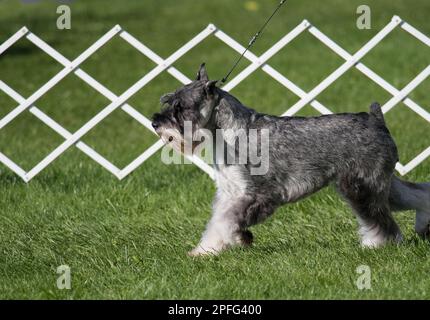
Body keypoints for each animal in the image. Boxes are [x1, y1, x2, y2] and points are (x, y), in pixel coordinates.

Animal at [151, 63, 430, 256]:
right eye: (167, 101)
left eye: (181, 107)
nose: (156, 123)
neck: (228, 132)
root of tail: (375, 119)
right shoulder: (230, 193)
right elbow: (221, 220)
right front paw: (237, 240)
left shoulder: (255, 194)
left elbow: (223, 223)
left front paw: (204, 252)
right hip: (382, 182)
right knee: (415, 194)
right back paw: (422, 225)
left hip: (361, 186)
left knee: (378, 219)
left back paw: (377, 244)